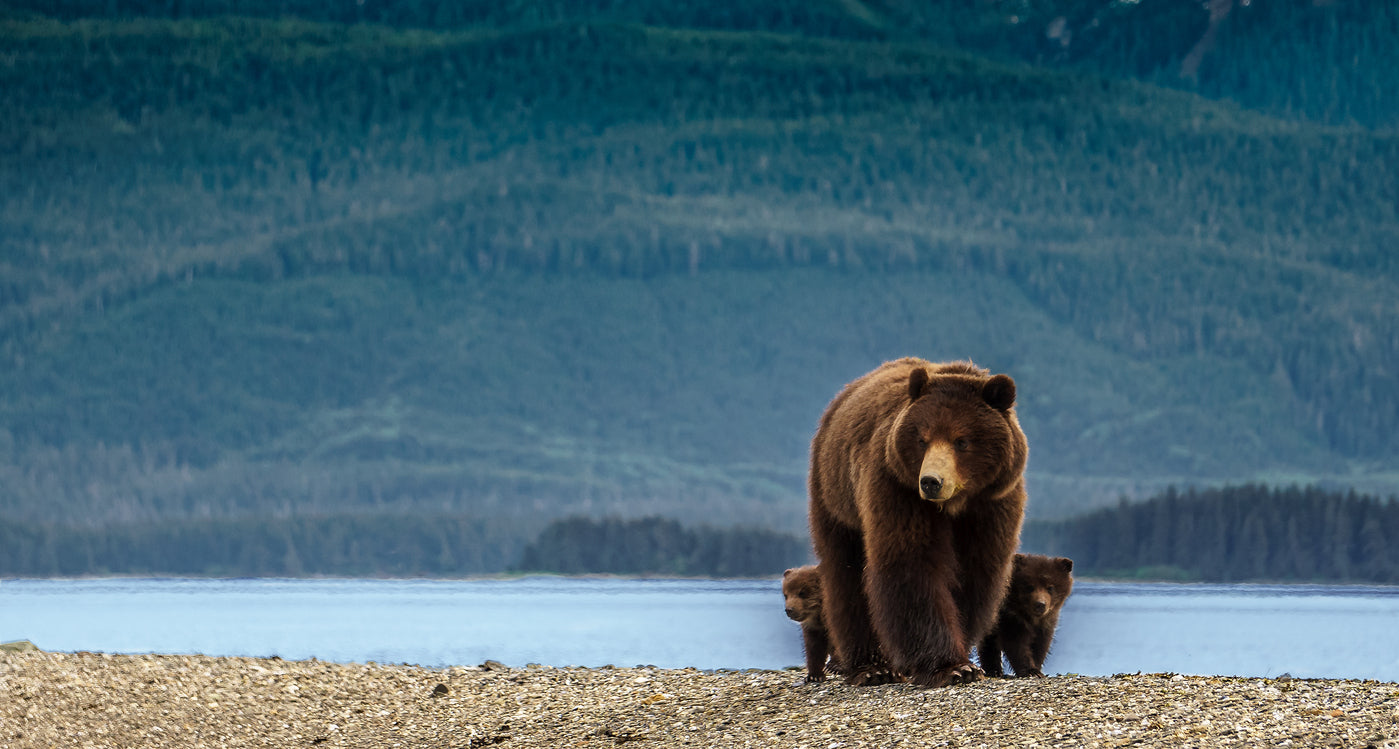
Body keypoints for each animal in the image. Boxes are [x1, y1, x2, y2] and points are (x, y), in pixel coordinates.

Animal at [811, 361, 1029, 688]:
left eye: (961, 440)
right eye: (922, 439)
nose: (930, 481)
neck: (955, 504)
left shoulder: (992, 505)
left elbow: (974, 572)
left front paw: (962, 657)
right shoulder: (897, 489)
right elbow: (912, 562)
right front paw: (951, 667)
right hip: (836, 497)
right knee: (845, 575)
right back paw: (870, 667)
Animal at [979, 551, 1074, 680]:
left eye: (1050, 587)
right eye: (1029, 586)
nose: (1040, 604)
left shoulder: (1046, 622)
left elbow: (1040, 644)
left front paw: (1037, 667)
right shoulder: (1010, 617)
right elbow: (1017, 643)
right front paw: (1031, 671)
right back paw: (993, 670)